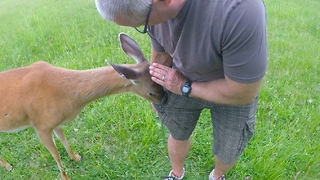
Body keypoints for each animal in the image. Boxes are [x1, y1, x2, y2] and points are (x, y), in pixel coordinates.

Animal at [0, 33, 165, 179]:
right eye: (152, 92)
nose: (164, 101)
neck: (68, 94)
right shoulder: (41, 126)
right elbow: (56, 154)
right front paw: (65, 177)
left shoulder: (55, 122)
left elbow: (63, 139)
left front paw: (75, 157)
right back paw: (8, 166)